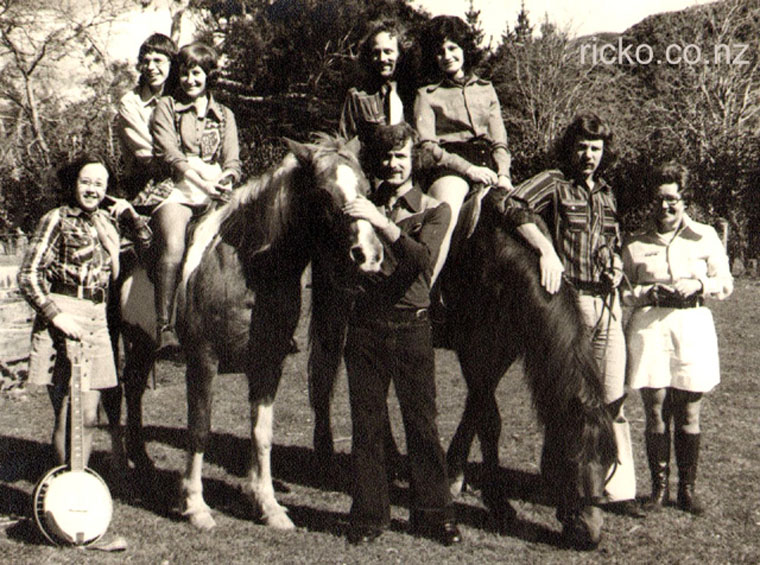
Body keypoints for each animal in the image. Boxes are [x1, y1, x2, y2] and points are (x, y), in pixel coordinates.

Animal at [113, 134, 383, 531]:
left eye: (365, 188)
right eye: (323, 193)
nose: (369, 255)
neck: (247, 270)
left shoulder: (269, 363)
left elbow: (261, 433)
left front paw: (267, 505)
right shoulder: (203, 362)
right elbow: (199, 428)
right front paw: (195, 505)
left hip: (143, 343)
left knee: (133, 388)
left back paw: (142, 459)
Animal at [308, 193, 617, 549]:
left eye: (610, 462)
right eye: (570, 458)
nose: (589, 533)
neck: (502, 265)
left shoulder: (502, 350)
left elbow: (477, 409)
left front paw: (459, 477)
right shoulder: (473, 349)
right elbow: (488, 418)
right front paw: (492, 498)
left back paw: (394, 460)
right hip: (334, 312)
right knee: (325, 376)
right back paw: (326, 453)